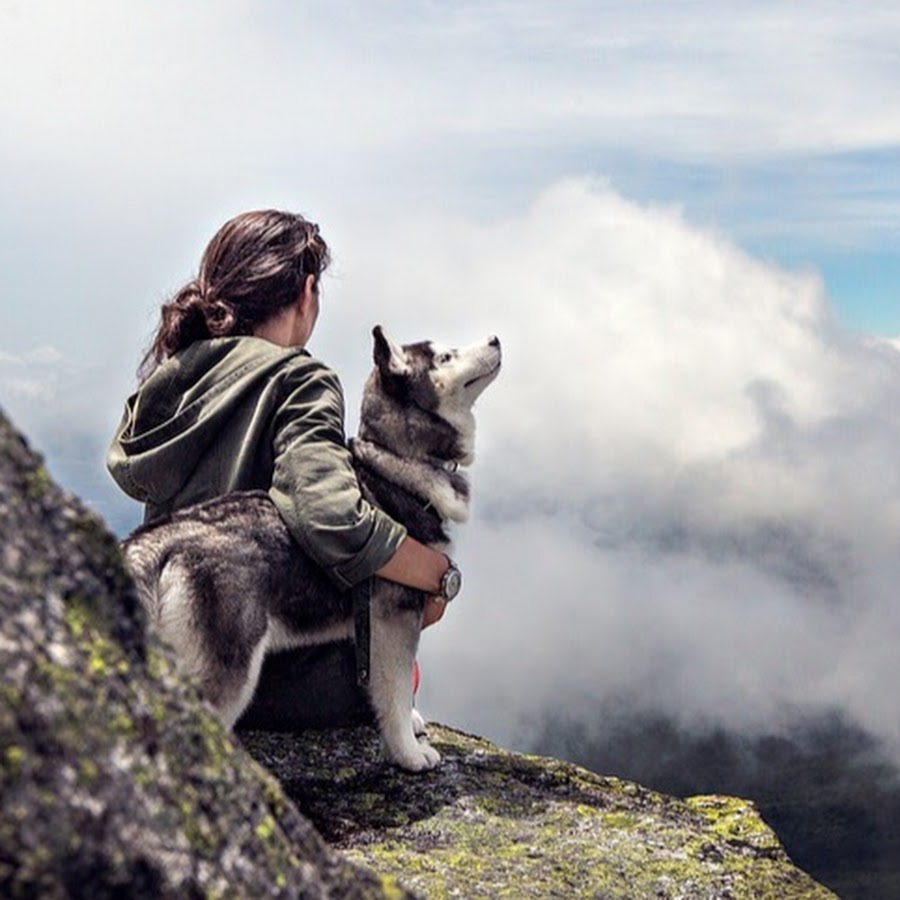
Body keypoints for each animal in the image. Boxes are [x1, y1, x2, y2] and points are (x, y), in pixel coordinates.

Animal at [121, 326, 500, 768]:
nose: (495, 339)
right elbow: (395, 690)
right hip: (228, 668)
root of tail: (157, 539)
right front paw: (407, 752)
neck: (396, 462)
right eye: (444, 357)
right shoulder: (394, 618)